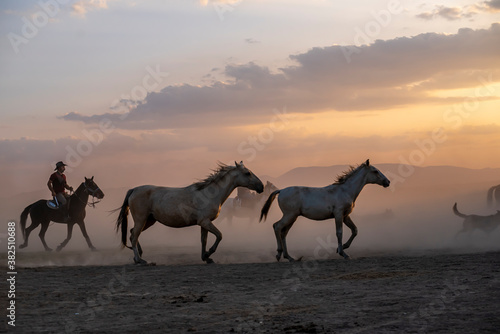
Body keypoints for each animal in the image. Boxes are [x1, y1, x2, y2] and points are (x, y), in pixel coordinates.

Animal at [115, 160, 264, 264]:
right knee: (134, 236)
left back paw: (139, 255)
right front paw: (209, 254)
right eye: (247, 173)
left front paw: (206, 257)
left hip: (149, 220)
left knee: (132, 233)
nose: (261, 187)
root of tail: (134, 190)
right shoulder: (205, 222)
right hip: (141, 219)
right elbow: (219, 235)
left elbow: (204, 240)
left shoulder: (204, 223)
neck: (209, 194)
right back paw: (140, 260)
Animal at [260, 160, 392, 262]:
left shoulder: (346, 216)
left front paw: (344, 247)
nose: (388, 182)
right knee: (277, 226)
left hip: (293, 217)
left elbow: (355, 230)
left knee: (284, 233)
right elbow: (339, 233)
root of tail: (281, 191)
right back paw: (279, 254)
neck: (345, 191)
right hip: (289, 215)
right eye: (375, 171)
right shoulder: (338, 215)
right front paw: (343, 253)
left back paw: (290, 257)